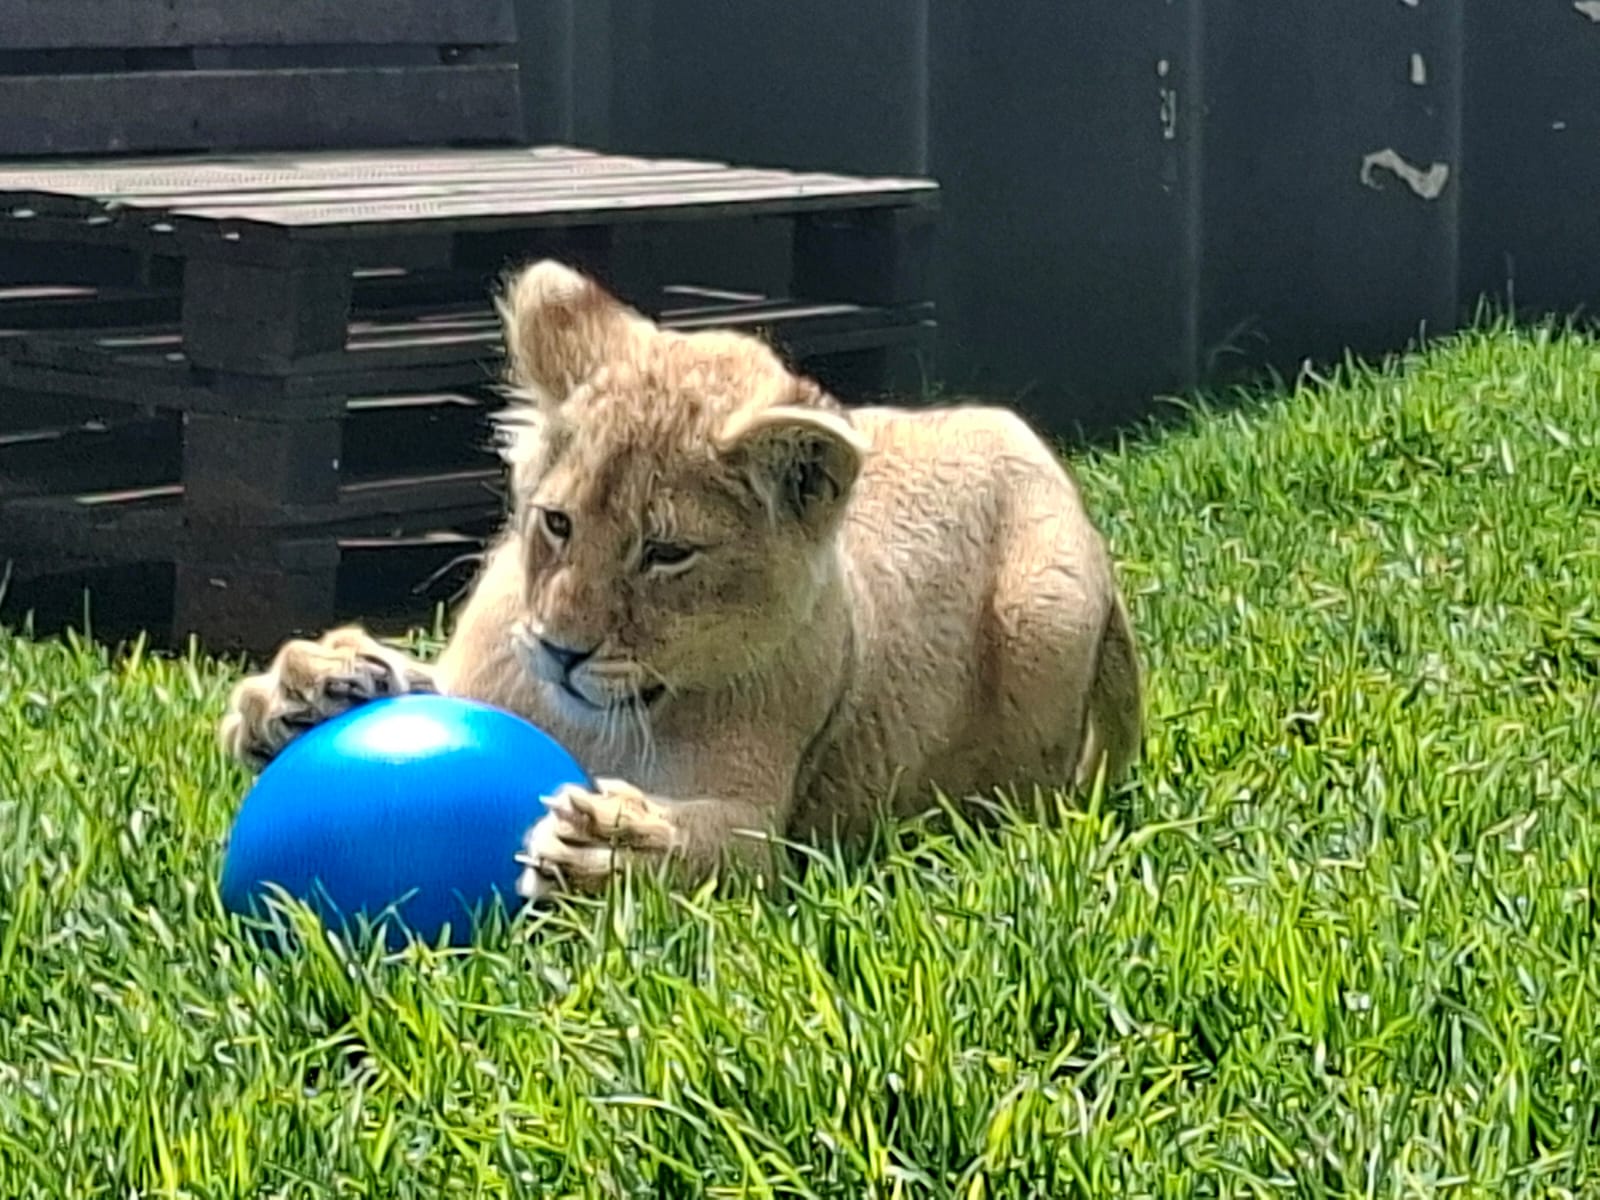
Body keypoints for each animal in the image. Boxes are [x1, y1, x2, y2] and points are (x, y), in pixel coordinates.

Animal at [219, 259, 1143, 902]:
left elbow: (718, 847)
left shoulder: (766, 826)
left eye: (665, 554)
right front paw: (313, 684)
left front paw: (612, 849)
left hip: (1044, 612)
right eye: (557, 523)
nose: (560, 651)